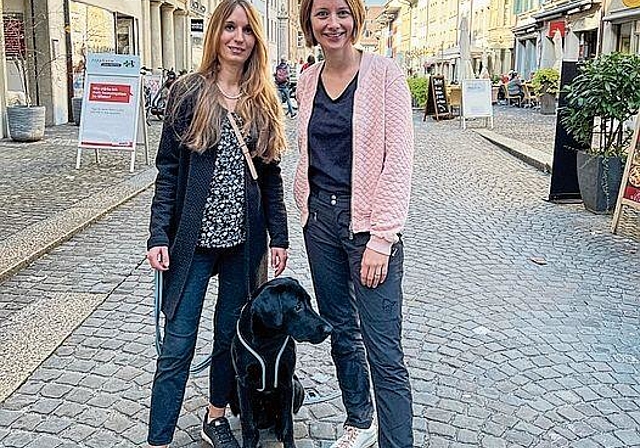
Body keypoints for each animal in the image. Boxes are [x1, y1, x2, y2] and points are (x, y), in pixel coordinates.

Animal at [229, 276, 330, 448]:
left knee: (280, 419)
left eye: (309, 303)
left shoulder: (287, 381)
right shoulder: (243, 383)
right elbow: (248, 424)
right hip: (233, 393)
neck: (268, 341)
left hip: (297, 387)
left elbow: (287, 423)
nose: (329, 329)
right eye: (297, 307)